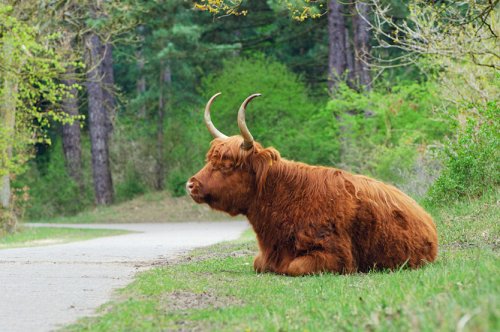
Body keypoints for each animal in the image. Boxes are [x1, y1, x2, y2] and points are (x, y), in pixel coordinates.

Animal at [188, 92, 438, 274]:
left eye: (227, 165)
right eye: (210, 160)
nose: (191, 184)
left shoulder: (337, 256)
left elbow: (294, 267)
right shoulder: (266, 256)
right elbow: (258, 263)